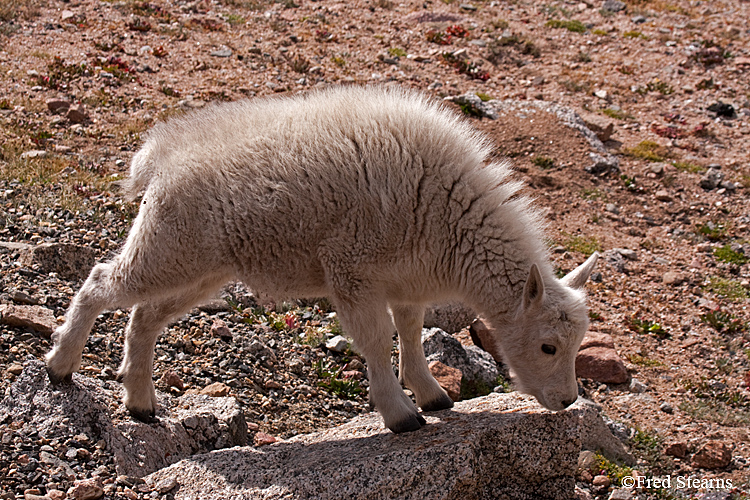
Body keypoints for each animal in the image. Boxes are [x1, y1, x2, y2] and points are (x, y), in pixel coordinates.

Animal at [45, 84, 600, 432]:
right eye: (549, 346)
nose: (567, 400)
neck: (447, 210)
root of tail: (158, 156)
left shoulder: (404, 281)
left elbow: (411, 335)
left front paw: (432, 395)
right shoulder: (351, 269)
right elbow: (376, 340)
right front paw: (402, 416)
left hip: (201, 269)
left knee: (145, 316)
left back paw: (139, 403)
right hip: (169, 245)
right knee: (100, 281)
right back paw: (60, 366)